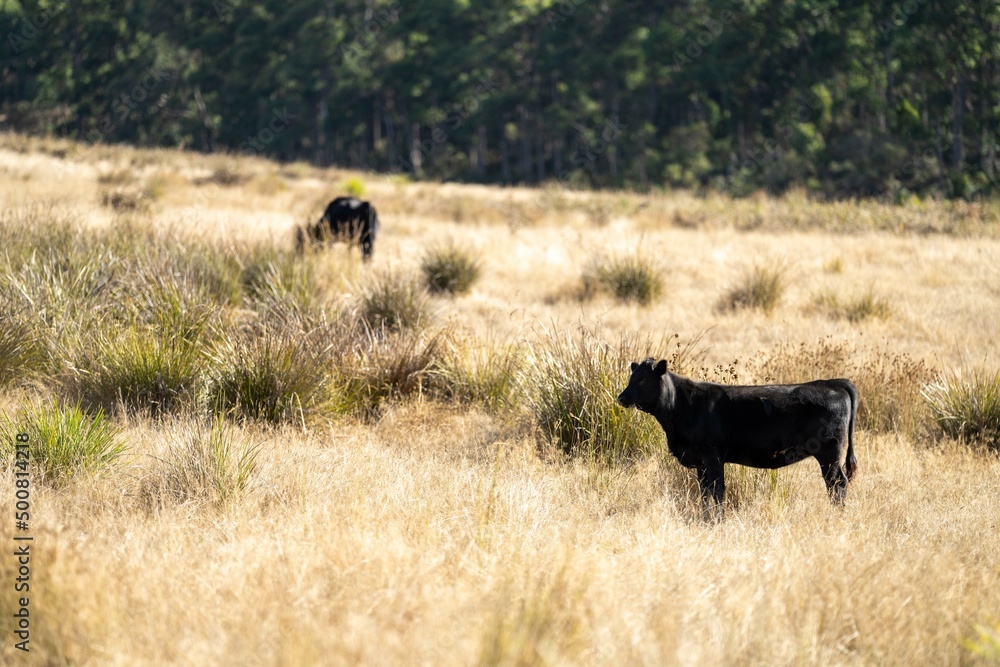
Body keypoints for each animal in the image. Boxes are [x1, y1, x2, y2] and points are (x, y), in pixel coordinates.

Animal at [617, 358, 858, 515]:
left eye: (643, 380)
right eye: (631, 377)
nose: (621, 397)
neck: (683, 406)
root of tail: (831, 382)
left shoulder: (712, 455)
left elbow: (717, 490)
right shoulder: (701, 463)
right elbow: (705, 493)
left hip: (829, 453)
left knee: (837, 483)